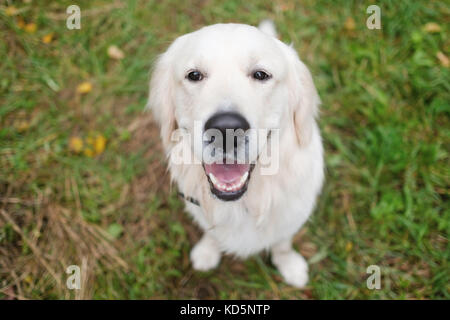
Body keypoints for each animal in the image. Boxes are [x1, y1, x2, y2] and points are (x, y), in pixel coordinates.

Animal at [149, 20, 324, 288]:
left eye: (261, 74)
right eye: (194, 75)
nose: (225, 129)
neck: (242, 204)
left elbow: (282, 244)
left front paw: (290, 266)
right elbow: (211, 232)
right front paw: (207, 252)